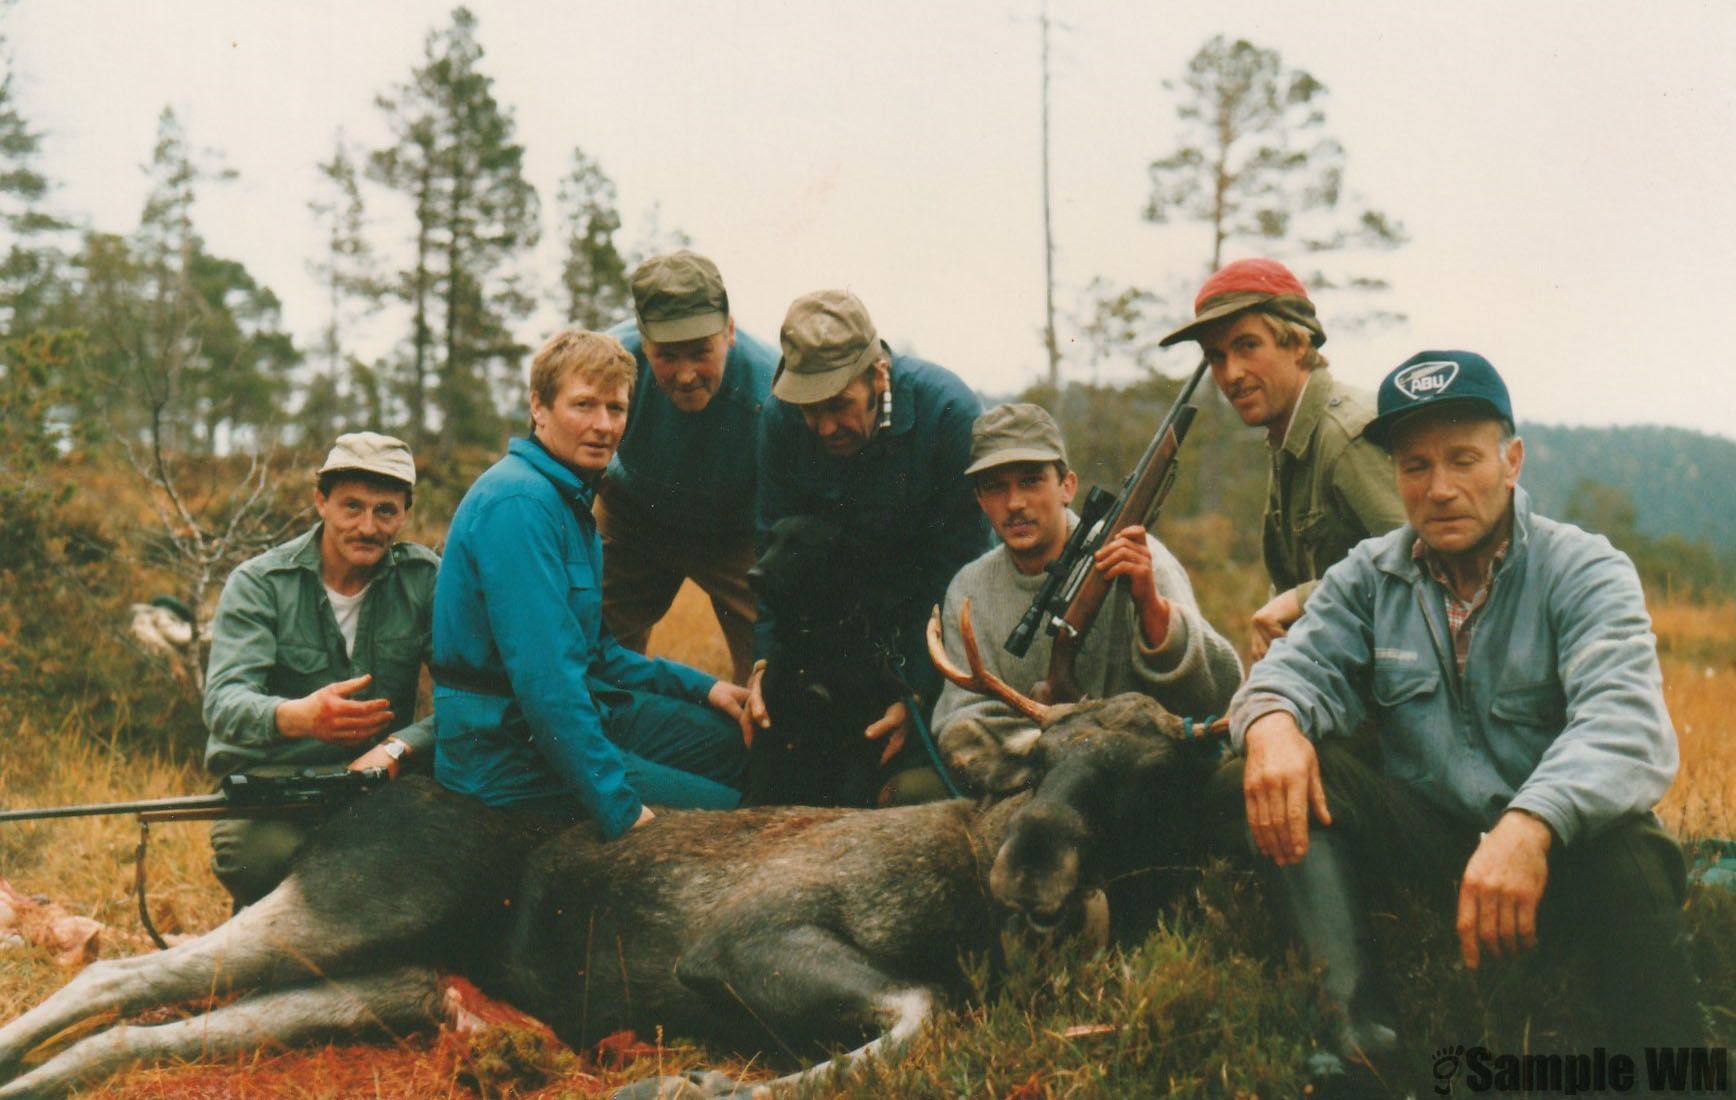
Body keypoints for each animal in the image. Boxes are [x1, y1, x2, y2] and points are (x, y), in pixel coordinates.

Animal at [0, 600, 1222, 1096]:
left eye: (1150, 776)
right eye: (1045, 751)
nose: (1033, 872)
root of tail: (358, 794)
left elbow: (916, 1017)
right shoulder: (740, 941)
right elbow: (919, 1014)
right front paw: (687, 1079)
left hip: (379, 983)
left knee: (150, 1036)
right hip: (348, 910)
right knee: (118, 974)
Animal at [746, 513, 909, 805]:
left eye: (798, 548)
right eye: (769, 543)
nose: (752, 576)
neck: (815, 640)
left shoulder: (865, 729)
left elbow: (852, 791)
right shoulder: (771, 716)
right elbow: (760, 782)